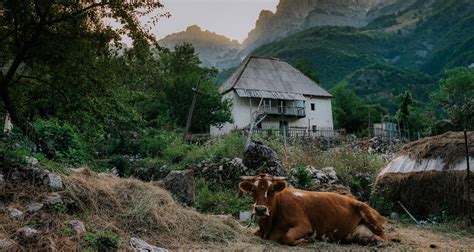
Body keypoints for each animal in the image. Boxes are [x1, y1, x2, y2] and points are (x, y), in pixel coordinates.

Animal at [239, 174, 398, 245]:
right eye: (253, 190)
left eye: (272, 190)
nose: (260, 209)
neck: (269, 227)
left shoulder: (304, 225)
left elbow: (287, 237)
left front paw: (306, 240)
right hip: (354, 234)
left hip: (368, 213)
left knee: (385, 238)